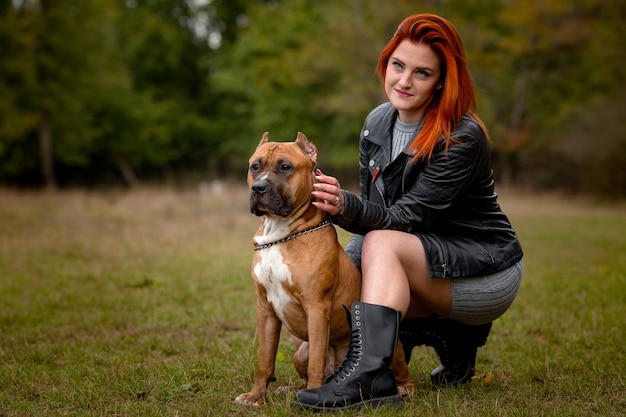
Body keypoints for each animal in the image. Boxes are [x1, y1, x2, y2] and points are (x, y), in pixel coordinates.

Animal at [232, 132, 412, 404]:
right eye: (255, 166)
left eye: (285, 167)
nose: (258, 188)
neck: (281, 233)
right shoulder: (265, 309)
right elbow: (265, 358)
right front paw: (255, 396)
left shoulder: (316, 306)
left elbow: (317, 363)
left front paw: (313, 395)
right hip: (300, 353)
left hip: (395, 351)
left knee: (398, 373)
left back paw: (402, 389)